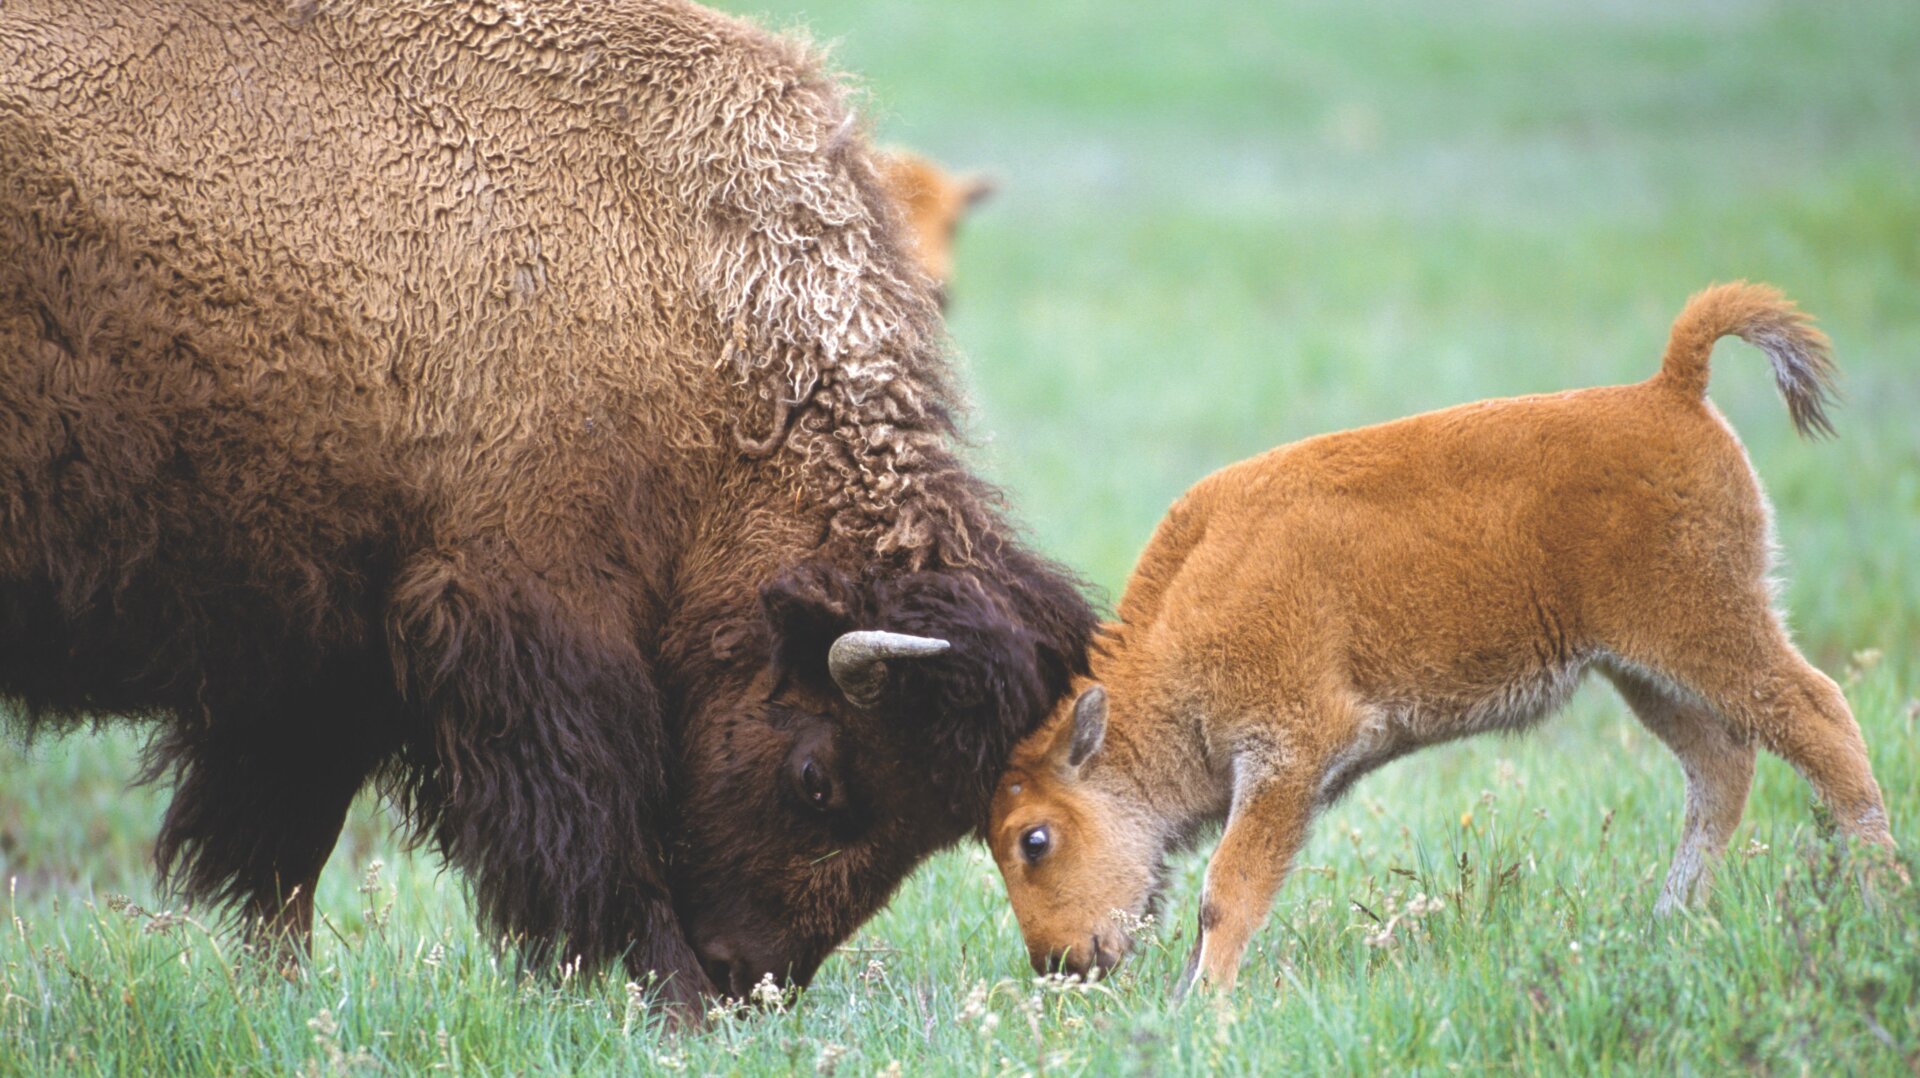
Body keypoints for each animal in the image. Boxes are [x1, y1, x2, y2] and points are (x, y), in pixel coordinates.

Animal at [0, 0, 1094, 1013]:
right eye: (817, 777)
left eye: (936, 827)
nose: (746, 977)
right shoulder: (528, 618)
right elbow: (592, 830)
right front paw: (671, 999)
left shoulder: (331, 645)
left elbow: (282, 854)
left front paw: (287, 995)